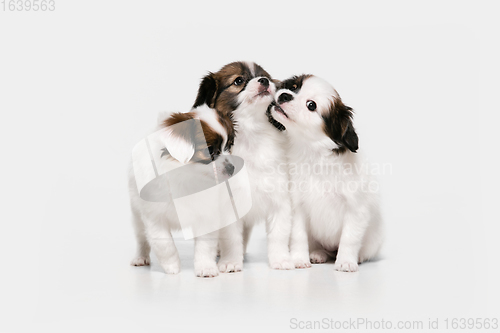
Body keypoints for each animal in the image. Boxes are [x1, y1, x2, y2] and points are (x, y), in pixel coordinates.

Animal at [270, 74, 382, 270]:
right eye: (294, 87)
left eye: (311, 105)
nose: (284, 95)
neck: (316, 155)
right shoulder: (298, 207)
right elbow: (298, 235)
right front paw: (299, 259)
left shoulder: (356, 210)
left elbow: (349, 239)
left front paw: (346, 261)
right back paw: (318, 254)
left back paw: (357, 258)